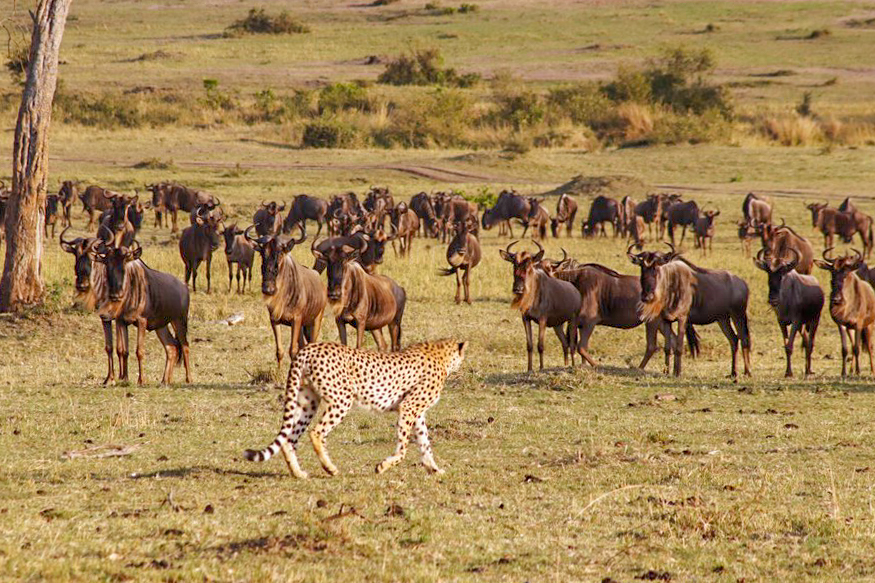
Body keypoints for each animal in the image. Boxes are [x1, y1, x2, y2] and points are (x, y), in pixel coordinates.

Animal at [243, 338, 468, 480]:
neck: (440, 354)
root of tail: (310, 347)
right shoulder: (408, 407)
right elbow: (404, 449)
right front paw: (383, 466)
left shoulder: (417, 413)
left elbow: (425, 443)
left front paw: (434, 469)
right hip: (342, 399)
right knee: (316, 432)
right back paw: (330, 468)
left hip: (307, 402)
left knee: (289, 439)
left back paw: (298, 473)